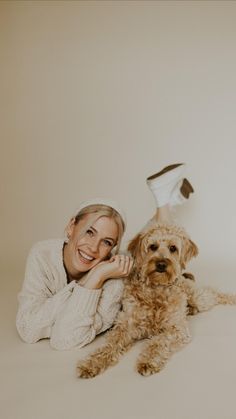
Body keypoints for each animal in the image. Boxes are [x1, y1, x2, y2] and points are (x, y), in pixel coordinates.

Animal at [76, 225, 235, 378]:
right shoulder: (125, 326)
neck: (156, 290)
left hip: (198, 298)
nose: (161, 264)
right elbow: (109, 345)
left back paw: (229, 298)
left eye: (173, 248)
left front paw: (148, 361)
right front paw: (91, 363)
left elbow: (159, 342)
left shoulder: (177, 329)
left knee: (213, 293)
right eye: (153, 246)